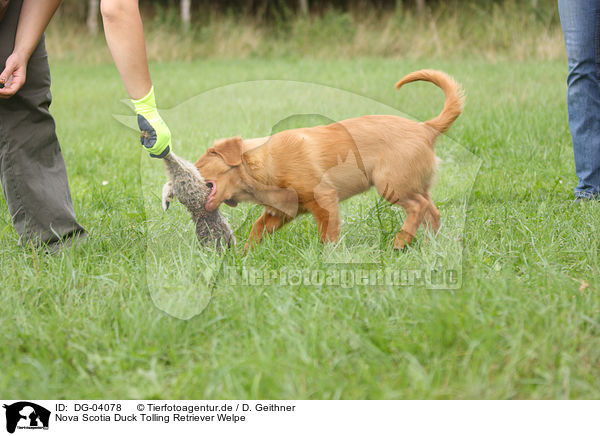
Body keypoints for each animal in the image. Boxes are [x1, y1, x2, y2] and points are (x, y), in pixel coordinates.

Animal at [195, 70, 466, 250]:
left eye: (197, 166)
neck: (262, 166)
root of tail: (425, 128)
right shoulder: (281, 211)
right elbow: (257, 228)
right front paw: (244, 255)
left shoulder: (324, 198)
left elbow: (328, 234)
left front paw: (328, 257)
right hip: (416, 183)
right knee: (432, 211)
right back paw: (433, 245)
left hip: (391, 183)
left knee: (418, 207)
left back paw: (399, 243)